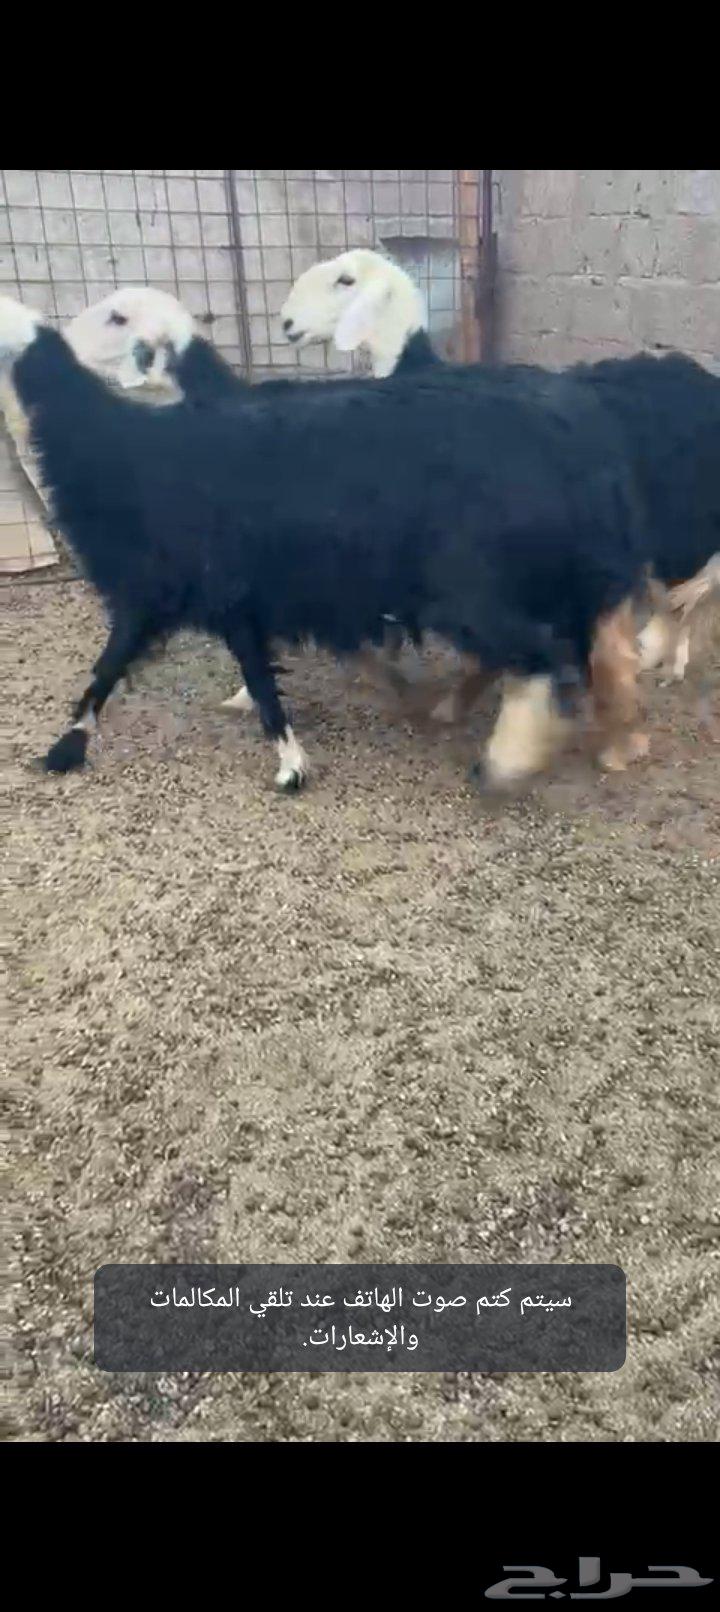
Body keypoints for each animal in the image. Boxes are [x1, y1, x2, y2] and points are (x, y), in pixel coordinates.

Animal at [1, 293, 652, 792]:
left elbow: (236, 677)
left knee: (545, 655)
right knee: (560, 656)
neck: (119, 444)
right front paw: (68, 747)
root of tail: (584, 437)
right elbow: (118, 669)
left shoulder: (195, 585)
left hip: (474, 586)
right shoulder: (194, 593)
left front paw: (290, 766)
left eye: (117, 317)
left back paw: (508, 760)